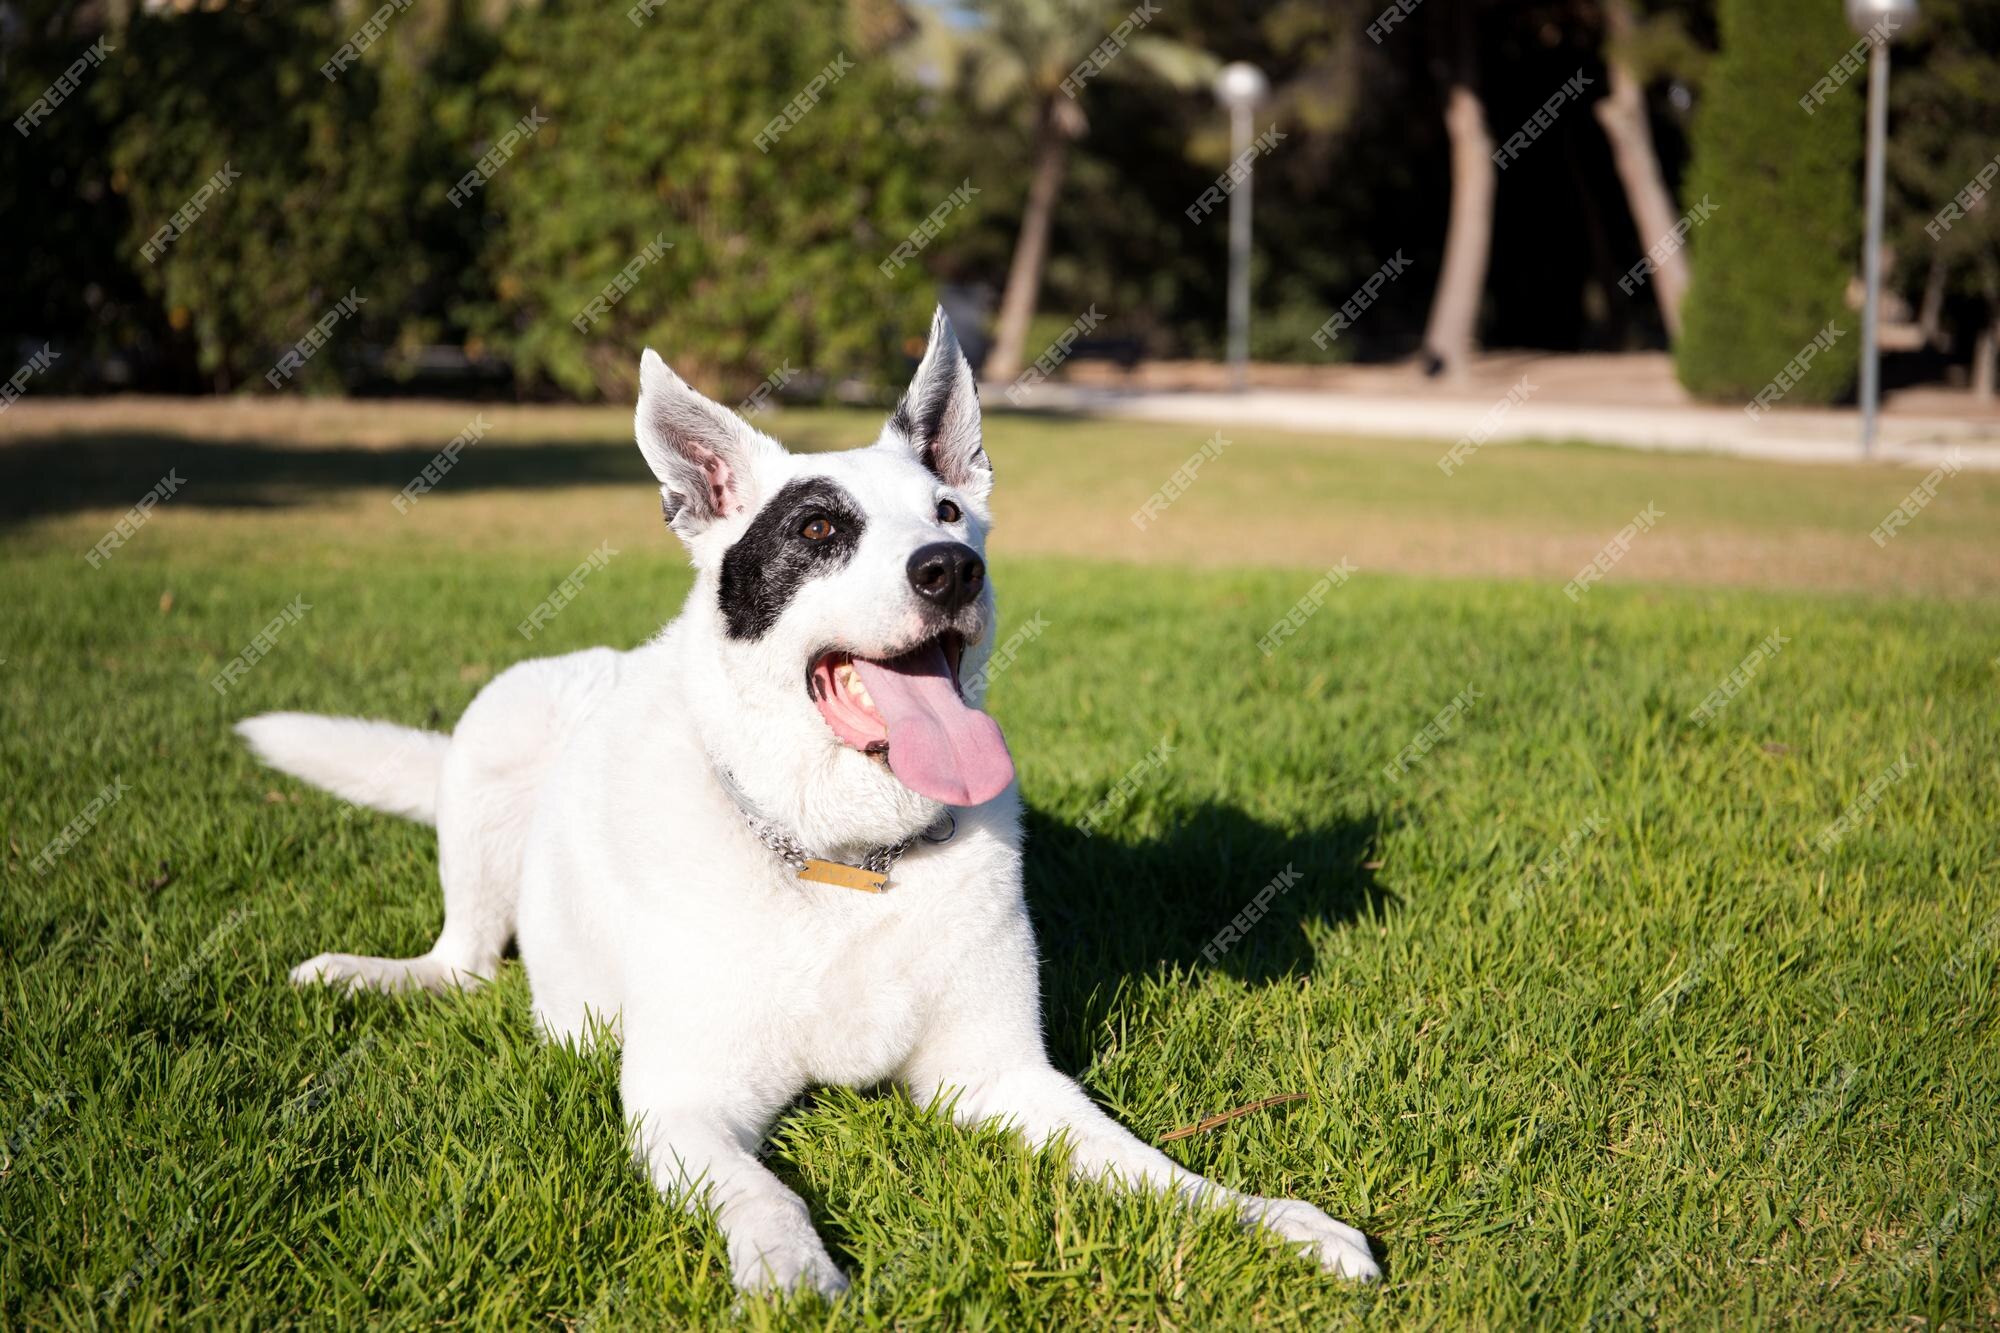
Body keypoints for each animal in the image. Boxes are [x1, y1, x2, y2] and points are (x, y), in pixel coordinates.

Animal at [238, 308, 1376, 1288]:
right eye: (822, 528)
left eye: (951, 513)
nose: (949, 570)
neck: (843, 858)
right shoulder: (685, 1101)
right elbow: (765, 1195)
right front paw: (792, 1273)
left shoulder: (1004, 1077)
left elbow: (1149, 1165)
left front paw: (1270, 1217)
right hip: (496, 729)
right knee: (462, 962)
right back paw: (372, 974)